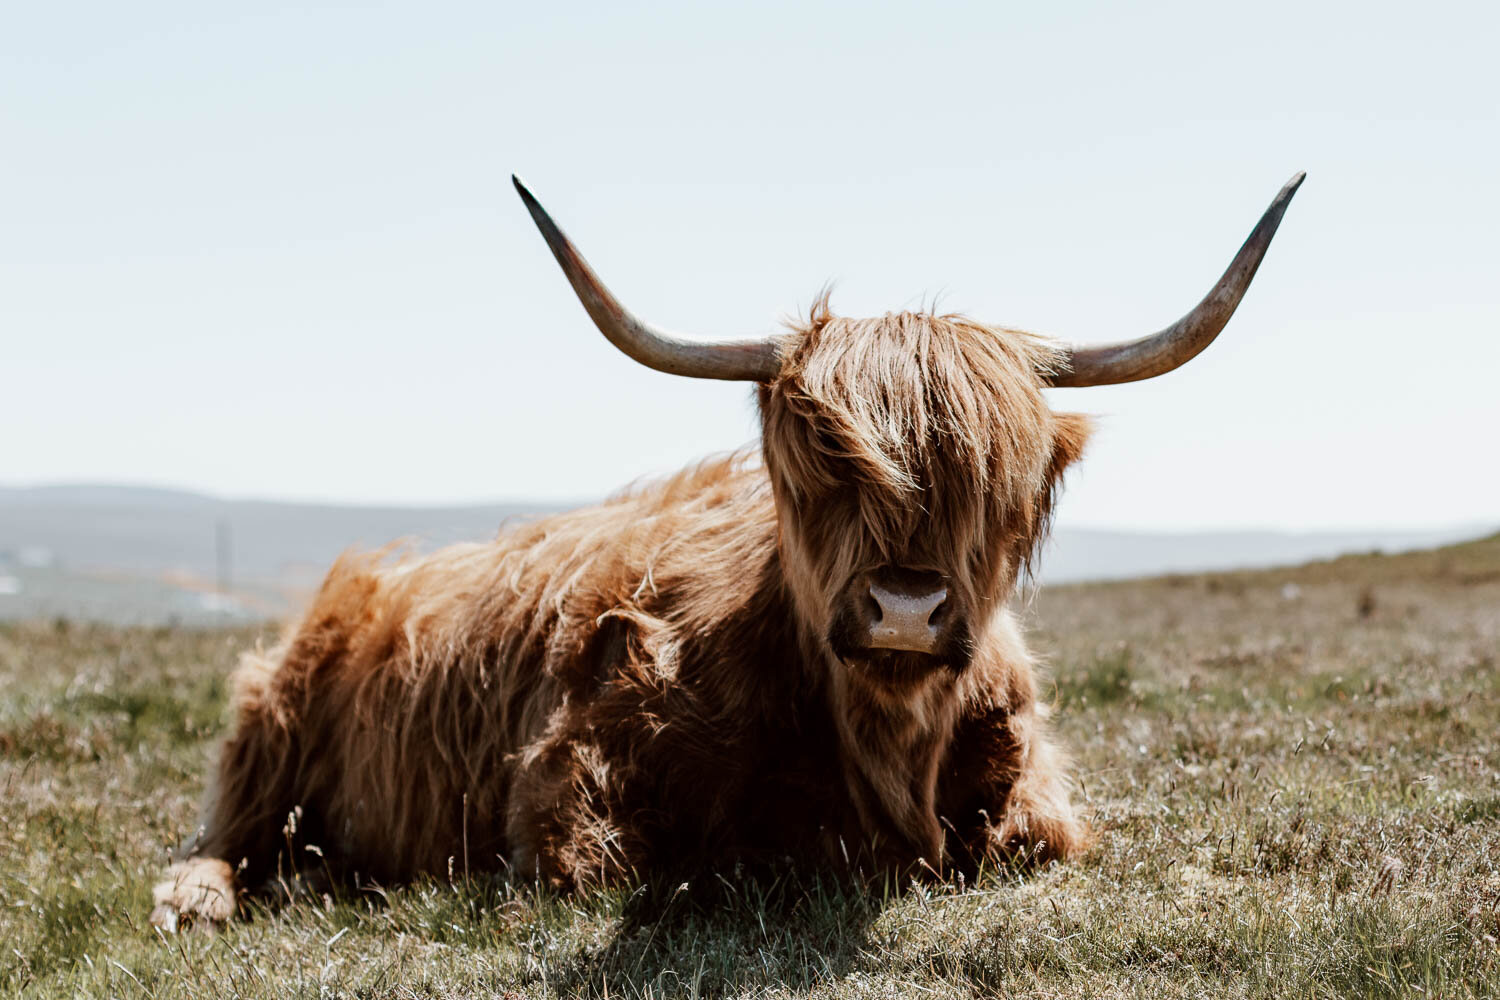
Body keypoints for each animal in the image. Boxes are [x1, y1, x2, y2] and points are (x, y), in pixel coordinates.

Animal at [151, 173, 1303, 928]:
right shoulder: (562, 788)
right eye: (821, 464)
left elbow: (1030, 837)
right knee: (223, 835)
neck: (884, 752)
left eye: (996, 481)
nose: (905, 607)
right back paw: (203, 898)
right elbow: (662, 868)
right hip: (269, 715)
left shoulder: (1033, 783)